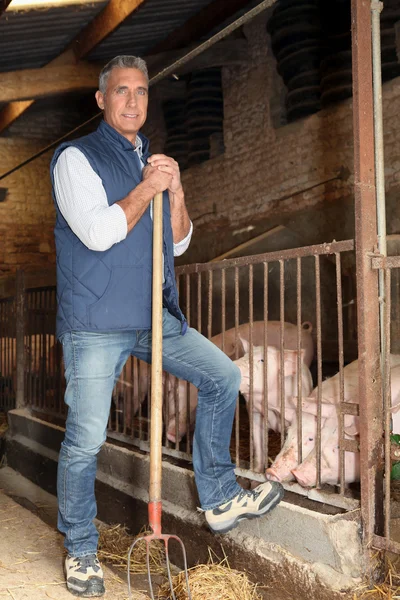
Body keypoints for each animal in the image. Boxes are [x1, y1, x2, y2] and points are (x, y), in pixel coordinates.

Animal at [233, 342, 314, 474]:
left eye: (262, 360)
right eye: (244, 355)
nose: (234, 363)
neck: (269, 405)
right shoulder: (254, 414)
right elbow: (258, 446)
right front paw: (256, 472)